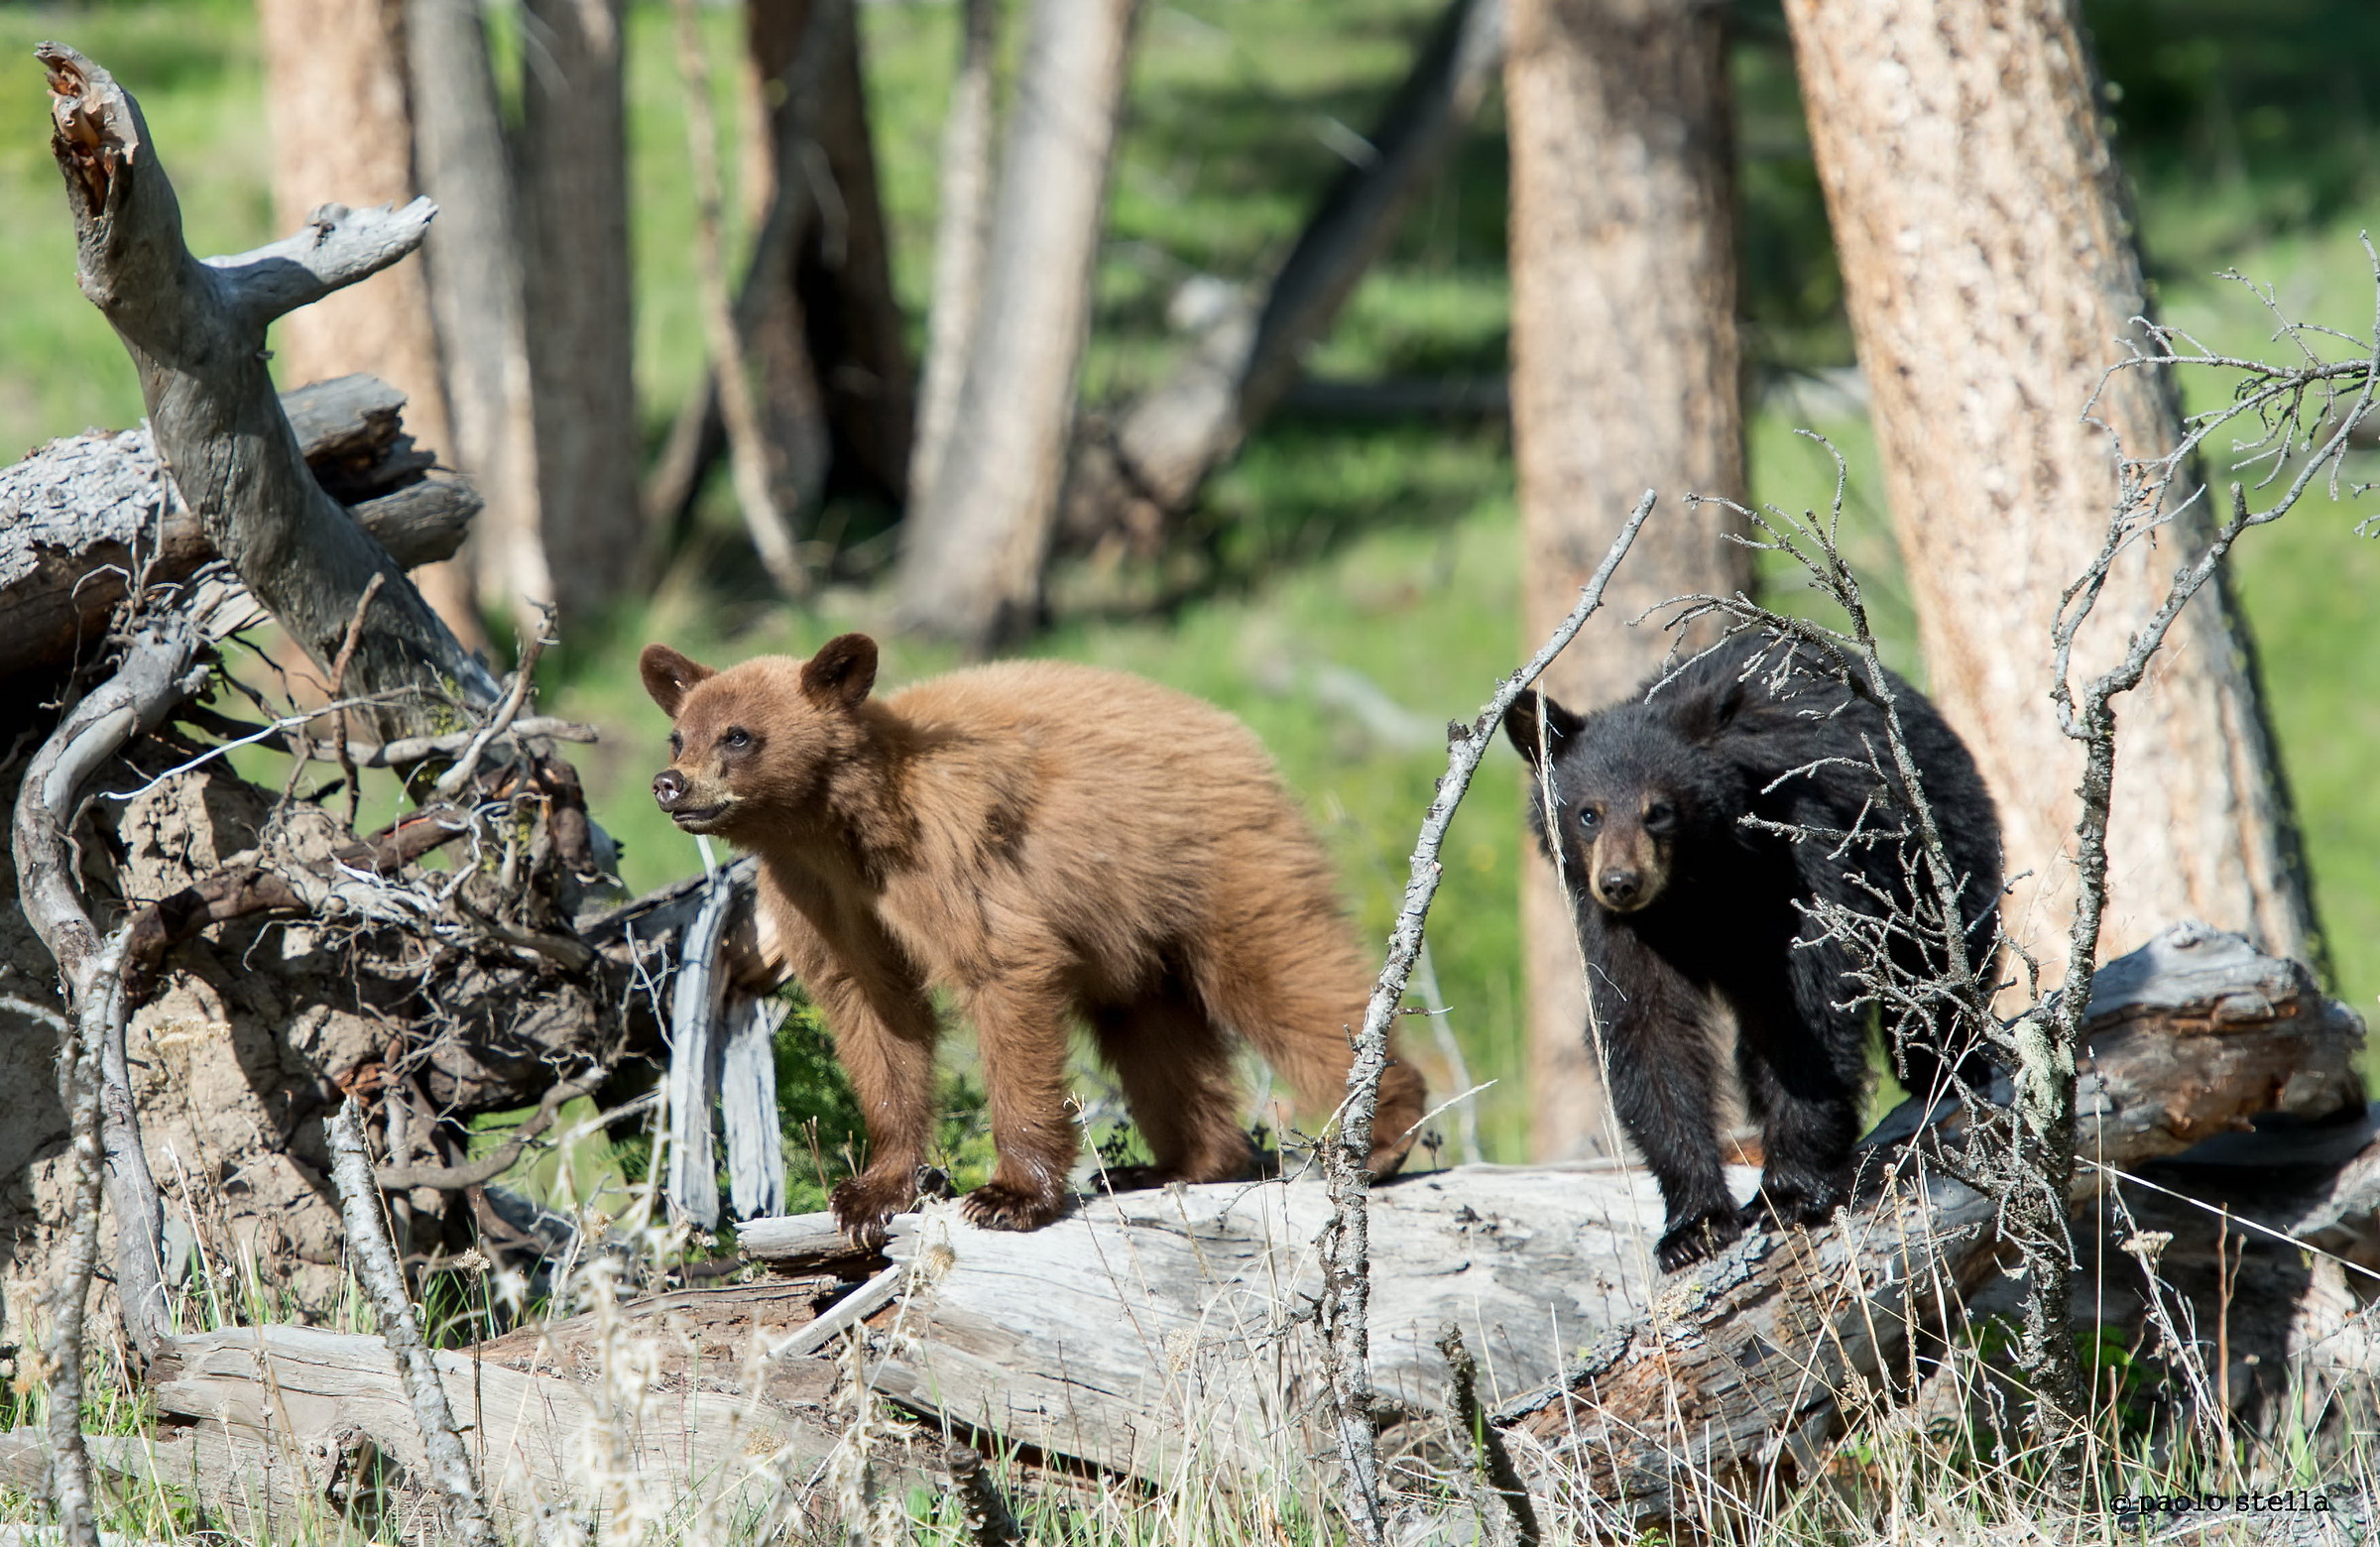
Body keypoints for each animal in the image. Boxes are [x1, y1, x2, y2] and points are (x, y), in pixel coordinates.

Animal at [640, 634, 1427, 1240]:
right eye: (680, 733)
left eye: (739, 735)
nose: (669, 784)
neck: (840, 830)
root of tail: (1230, 727)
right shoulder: (820, 901)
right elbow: (874, 1013)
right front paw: (872, 1193)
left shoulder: (951, 857)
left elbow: (1003, 969)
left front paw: (1011, 1196)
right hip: (1133, 929)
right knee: (1154, 1032)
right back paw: (1181, 1162)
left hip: (1214, 863)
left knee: (1280, 975)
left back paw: (1383, 1134)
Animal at [1504, 631, 2002, 1272]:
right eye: (1588, 813)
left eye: (1657, 810)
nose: (1620, 882)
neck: (1695, 889)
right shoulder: (1620, 932)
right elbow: (1646, 1031)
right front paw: (1693, 1223)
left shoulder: (1794, 868)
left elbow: (1806, 1011)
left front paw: (1790, 1192)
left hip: (1929, 838)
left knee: (1940, 954)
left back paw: (1948, 1064)